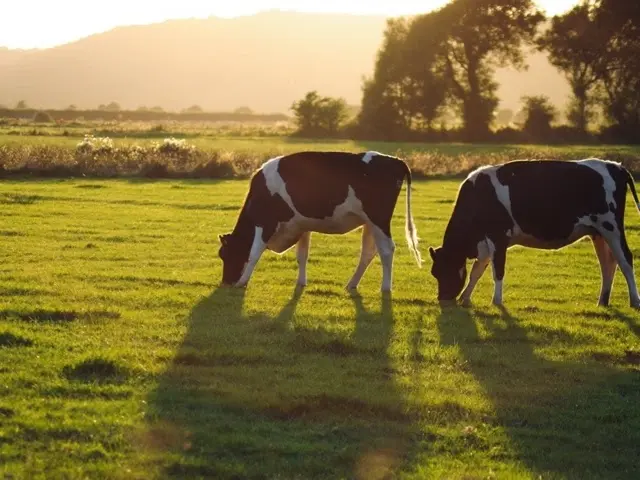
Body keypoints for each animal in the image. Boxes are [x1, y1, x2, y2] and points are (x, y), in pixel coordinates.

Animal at [218, 151, 421, 292]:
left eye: (225, 254)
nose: (225, 282)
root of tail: (395, 160)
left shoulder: (265, 223)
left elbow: (254, 253)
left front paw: (242, 282)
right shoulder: (301, 225)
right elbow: (302, 255)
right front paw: (301, 283)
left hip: (378, 219)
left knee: (387, 250)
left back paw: (385, 288)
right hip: (370, 223)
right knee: (369, 252)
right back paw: (352, 284)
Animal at [429, 158, 640, 308]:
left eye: (444, 270)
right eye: (434, 272)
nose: (442, 298)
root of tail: (615, 165)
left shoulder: (498, 238)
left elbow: (497, 271)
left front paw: (496, 301)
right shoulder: (486, 243)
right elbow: (476, 271)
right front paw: (465, 298)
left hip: (611, 226)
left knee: (625, 260)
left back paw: (634, 301)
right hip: (598, 232)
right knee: (608, 264)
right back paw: (602, 301)